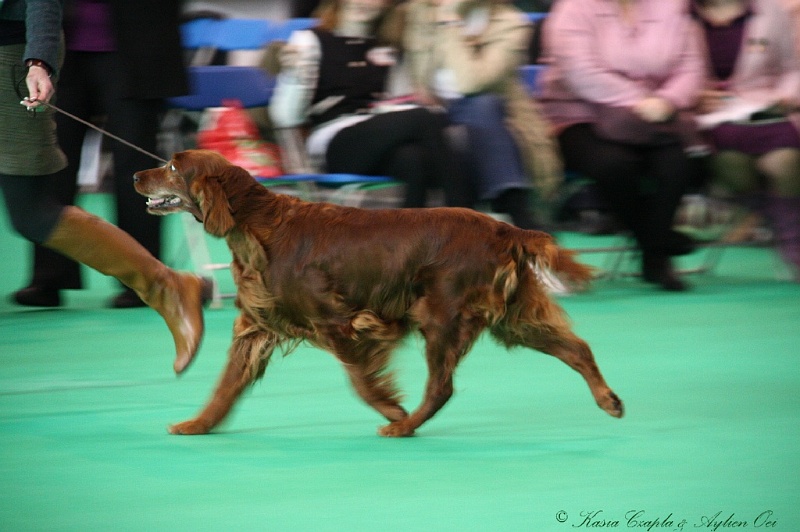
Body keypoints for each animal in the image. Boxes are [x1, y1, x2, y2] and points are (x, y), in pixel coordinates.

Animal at [134, 150, 624, 436]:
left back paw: (404, 428)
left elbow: (360, 382)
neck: (259, 225)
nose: (137, 173)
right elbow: (225, 386)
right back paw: (609, 400)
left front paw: (392, 411)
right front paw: (197, 424)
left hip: (440, 316)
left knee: (442, 387)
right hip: (513, 318)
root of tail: (504, 228)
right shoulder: (257, 325)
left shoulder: (338, 322)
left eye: (173, 167)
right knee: (576, 348)